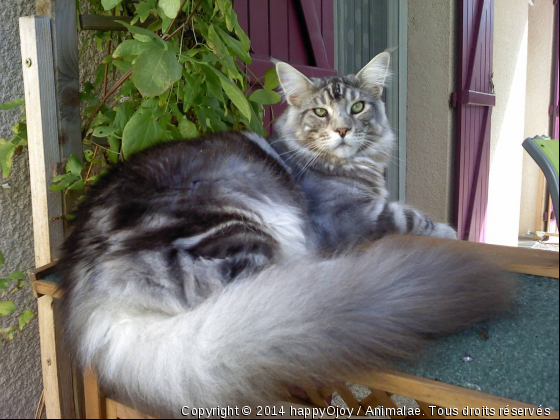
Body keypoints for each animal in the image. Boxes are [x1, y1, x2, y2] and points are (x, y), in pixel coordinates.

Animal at [272, 50, 460, 251]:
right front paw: (447, 231)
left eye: (357, 107)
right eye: (320, 112)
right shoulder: (347, 215)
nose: (342, 130)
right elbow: (410, 216)